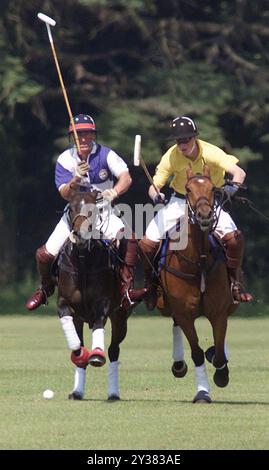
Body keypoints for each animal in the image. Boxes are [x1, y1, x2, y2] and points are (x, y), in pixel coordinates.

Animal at [57, 187, 131, 400]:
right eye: (72, 208)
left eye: (94, 210)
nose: (81, 234)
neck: (83, 260)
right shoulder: (64, 303)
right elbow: (75, 340)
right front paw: (79, 354)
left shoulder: (102, 304)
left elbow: (98, 323)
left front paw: (97, 354)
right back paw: (77, 390)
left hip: (121, 316)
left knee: (114, 351)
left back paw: (113, 392)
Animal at [157, 166, 237, 404]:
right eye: (189, 189)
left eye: (212, 189)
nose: (204, 216)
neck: (198, 260)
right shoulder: (184, 313)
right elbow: (197, 353)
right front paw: (202, 393)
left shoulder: (218, 312)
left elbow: (218, 353)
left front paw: (221, 374)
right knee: (175, 325)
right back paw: (178, 365)